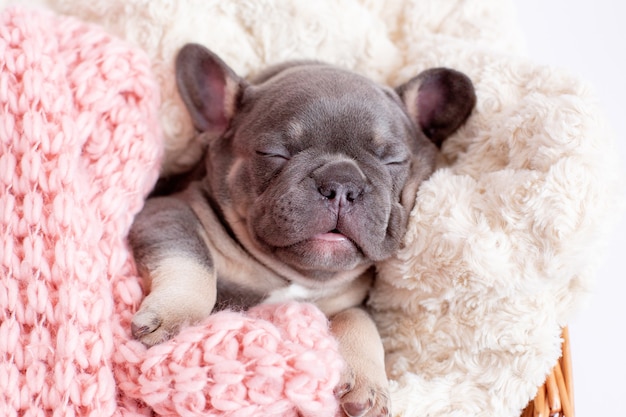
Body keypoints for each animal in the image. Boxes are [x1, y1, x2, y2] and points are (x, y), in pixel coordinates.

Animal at [129, 43, 476, 416]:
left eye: (392, 161)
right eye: (274, 153)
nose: (342, 182)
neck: (294, 276)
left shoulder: (352, 301)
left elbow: (360, 320)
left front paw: (367, 382)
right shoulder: (167, 211)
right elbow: (192, 260)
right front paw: (175, 316)